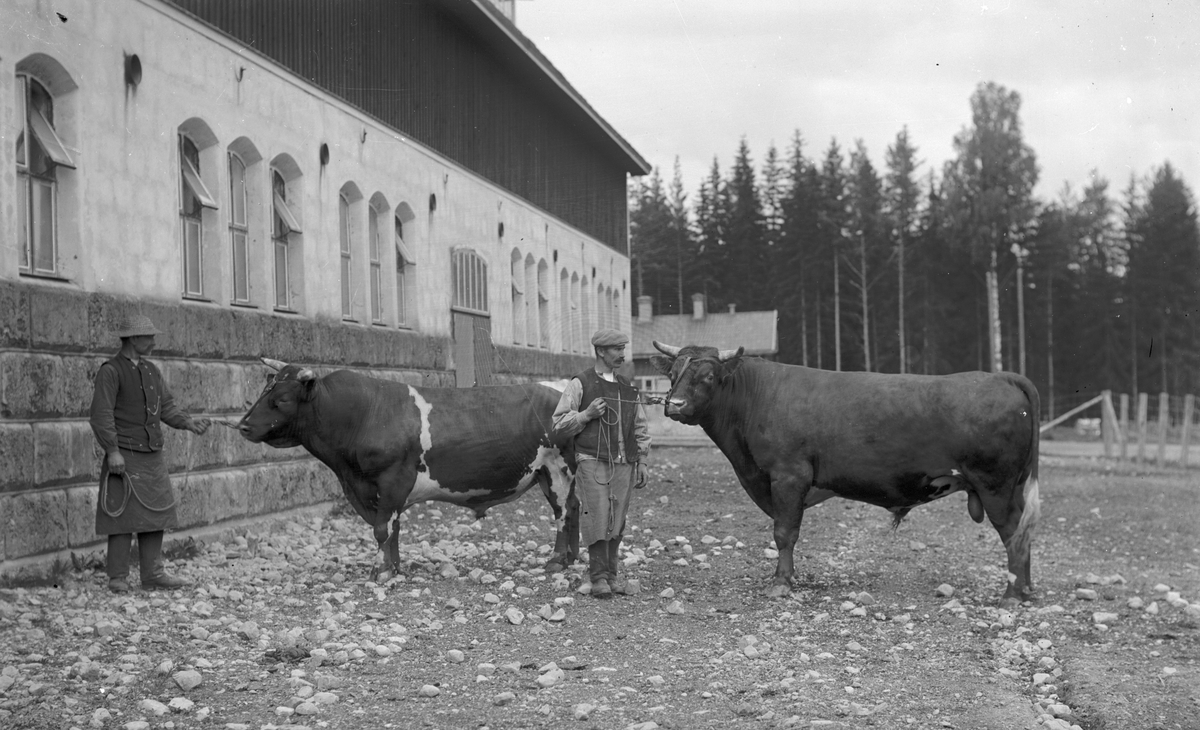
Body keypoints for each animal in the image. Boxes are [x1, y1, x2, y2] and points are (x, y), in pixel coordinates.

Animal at [237, 358, 579, 580]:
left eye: (282, 399)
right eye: (264, 391)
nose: (242, 426)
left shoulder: (392, 479)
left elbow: (381, 528)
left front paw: (381, 571)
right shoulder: (368, 489)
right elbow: (393, 528)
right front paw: (396, 566)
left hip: (557, 467)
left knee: (562, 511)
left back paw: (557, 560)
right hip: (547, 473)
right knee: (573, 508)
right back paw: (572, 557)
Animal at [650, 341, 1041, 606]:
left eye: (708, 376)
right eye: (672, 374)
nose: (674, 405)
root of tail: (1001, 377)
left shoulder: (788, 476)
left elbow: (784, 533)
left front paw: (781, 582)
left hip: (995, 486)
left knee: (1013, 533)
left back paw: (1011, 594)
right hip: (1011, 486)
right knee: (1024, 530)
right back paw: (1025, 589)